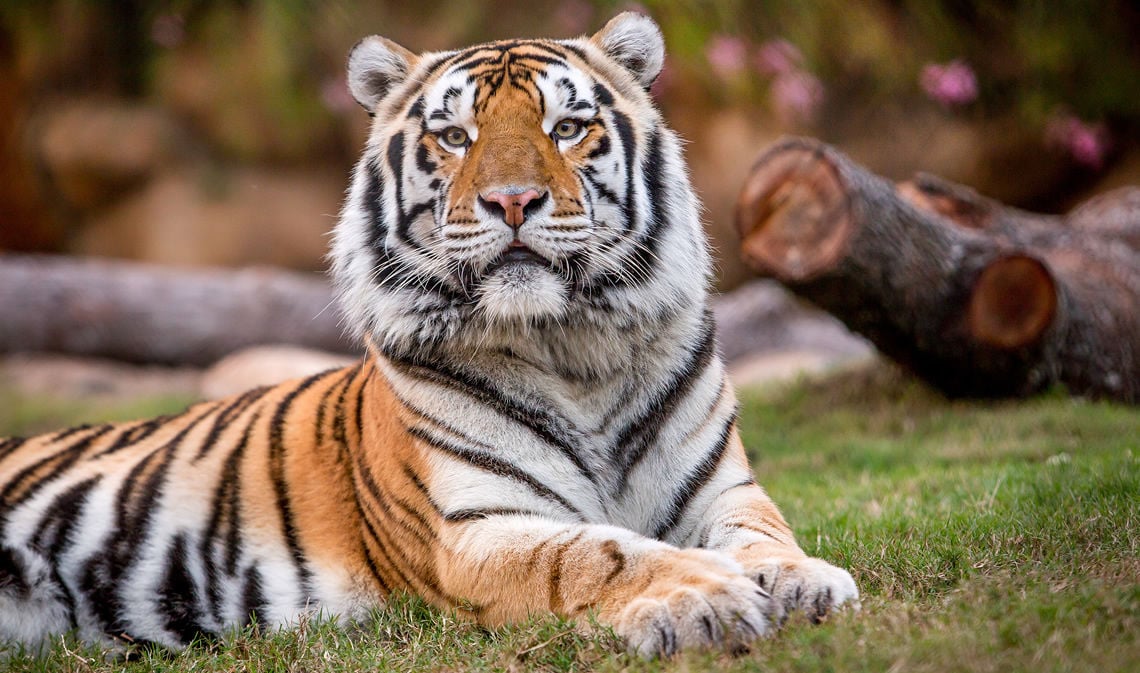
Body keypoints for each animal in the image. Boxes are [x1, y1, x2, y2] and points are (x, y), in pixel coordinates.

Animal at [0, 13, 857, 661]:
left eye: (567, 127)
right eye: (454, 136)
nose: (513, 201)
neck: (575, 351)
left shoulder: (722, 489)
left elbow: (764, 534)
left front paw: (806, 580)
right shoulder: (475, 530)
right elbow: (595, 552)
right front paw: (704, 593)